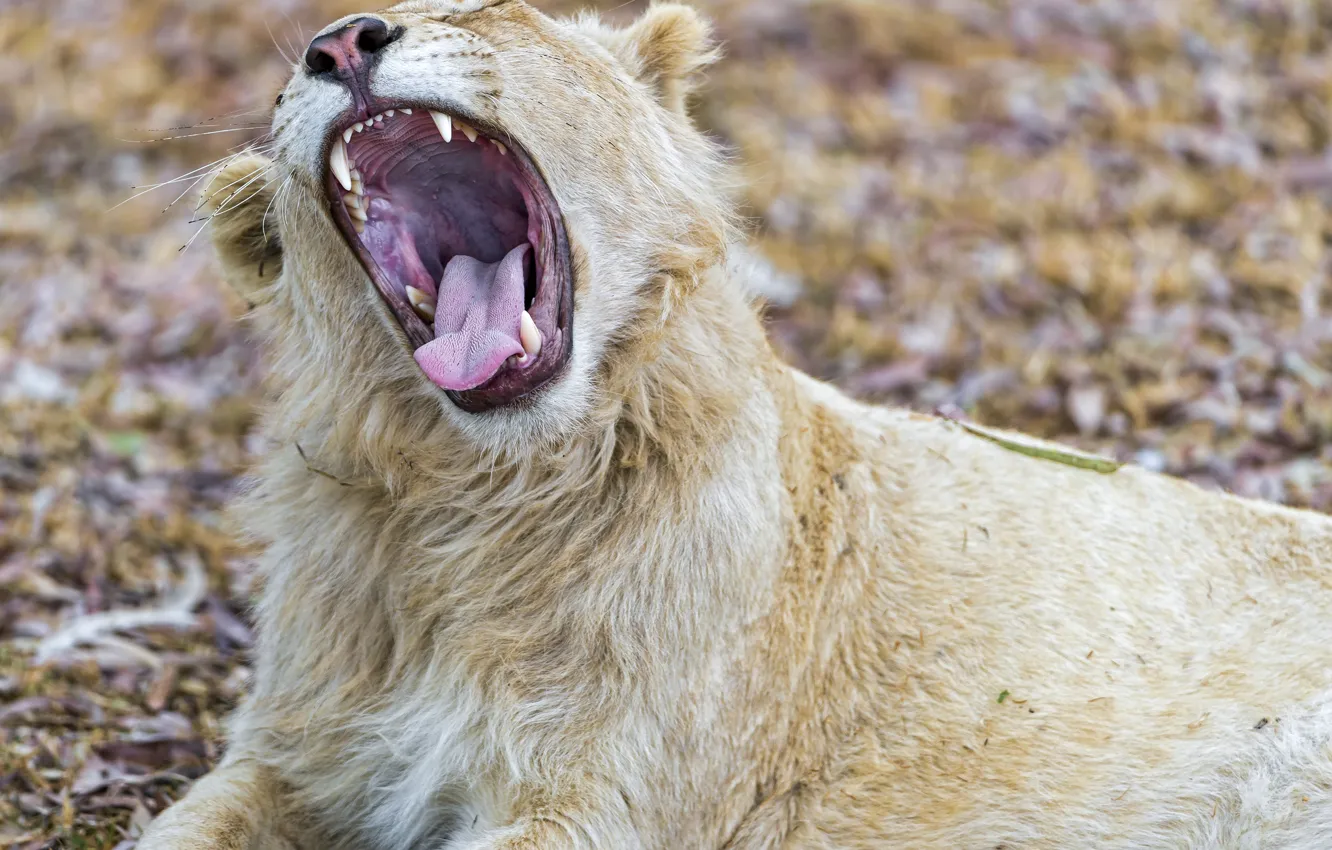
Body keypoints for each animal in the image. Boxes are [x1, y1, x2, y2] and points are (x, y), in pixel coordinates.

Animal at [140, 1, 1332, 850]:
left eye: (491, 13)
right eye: (294, 70)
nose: (342, 41)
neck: (467, 505)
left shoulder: (604, 801)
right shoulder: (295, 755)